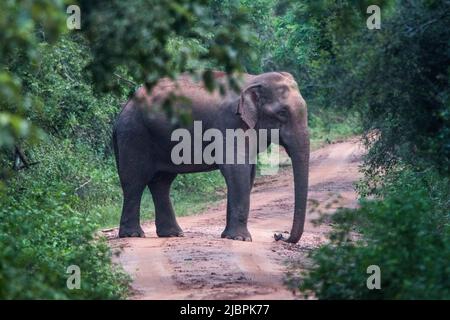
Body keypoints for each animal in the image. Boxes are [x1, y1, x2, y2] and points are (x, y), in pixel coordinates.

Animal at [112, 71, 310, 244]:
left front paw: (229, 237)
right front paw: (240, 239)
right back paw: (133, 235)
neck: (253, 80)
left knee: (161, 182)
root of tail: (123, 109)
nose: (279, 236)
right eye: (282, 113)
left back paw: (173, 234)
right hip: (134, 135)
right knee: (134, 181)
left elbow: (247, 174)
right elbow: (236, 169)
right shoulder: (231, 123)